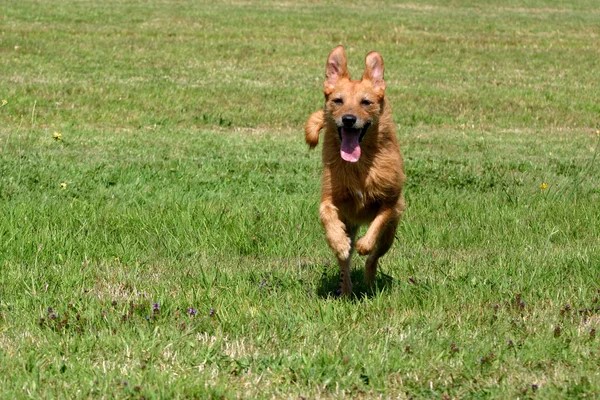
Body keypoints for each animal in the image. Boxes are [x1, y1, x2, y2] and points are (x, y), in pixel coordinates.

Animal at [304, 46, 408, 296]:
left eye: (366, 102)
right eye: (338, 100)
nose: (349, 119)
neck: (360, 166)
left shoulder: (390, 201)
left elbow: (379, 221)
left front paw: (365, 244)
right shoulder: (331, 197)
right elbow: (325, 213)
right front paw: (339, 242)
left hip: (389, 236)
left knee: (373, 259)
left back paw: (369, 283)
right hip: (350, 226)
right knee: (345, 265)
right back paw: (346, 288)